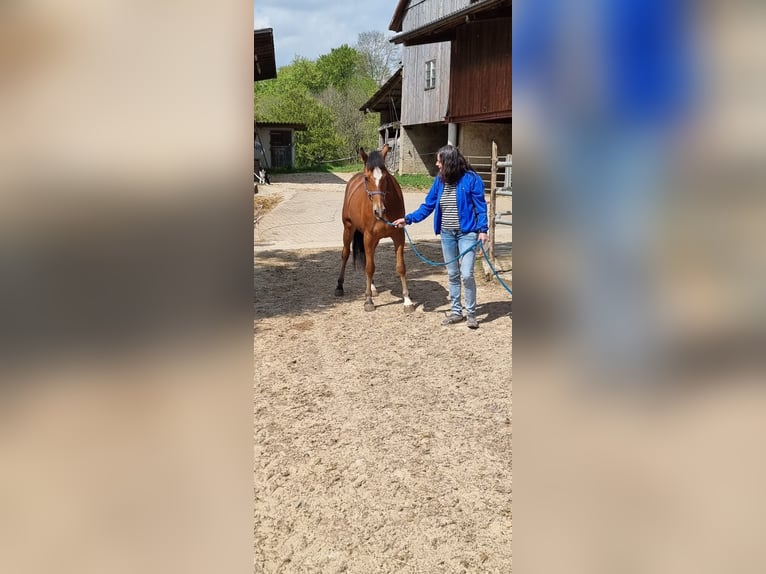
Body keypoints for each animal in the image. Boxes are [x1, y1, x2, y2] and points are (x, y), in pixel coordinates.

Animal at [335, 145, 414, 313]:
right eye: (367, 178)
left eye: (386, 177)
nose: (379, 211)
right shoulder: (368, 236)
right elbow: (370, 268)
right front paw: (368, 300)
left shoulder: (398, 236)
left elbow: (401, 267)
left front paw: (407, 300)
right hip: (349, 229)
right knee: (345, 254)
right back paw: (339, 286)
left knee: (367, 259)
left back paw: (372, 287)